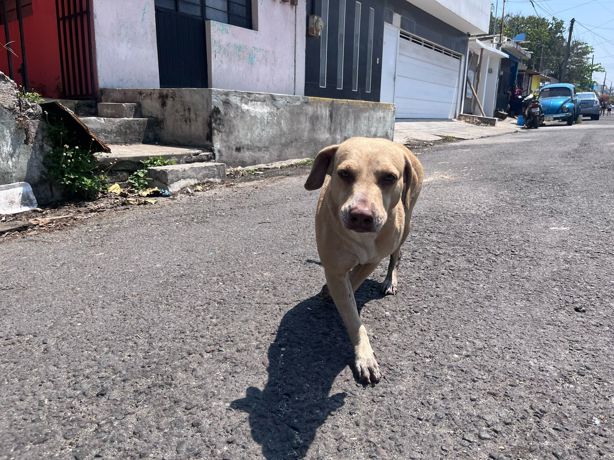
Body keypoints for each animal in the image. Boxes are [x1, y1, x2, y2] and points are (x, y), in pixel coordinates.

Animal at [304, 137, 424, 384]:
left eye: (389, 177)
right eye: (344, 173)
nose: (361, 215)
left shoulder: (373, 260)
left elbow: (355, 281)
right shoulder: (335, 269)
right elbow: (350, 311)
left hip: (406, 224)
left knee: (396, 255)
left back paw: (390, 280)